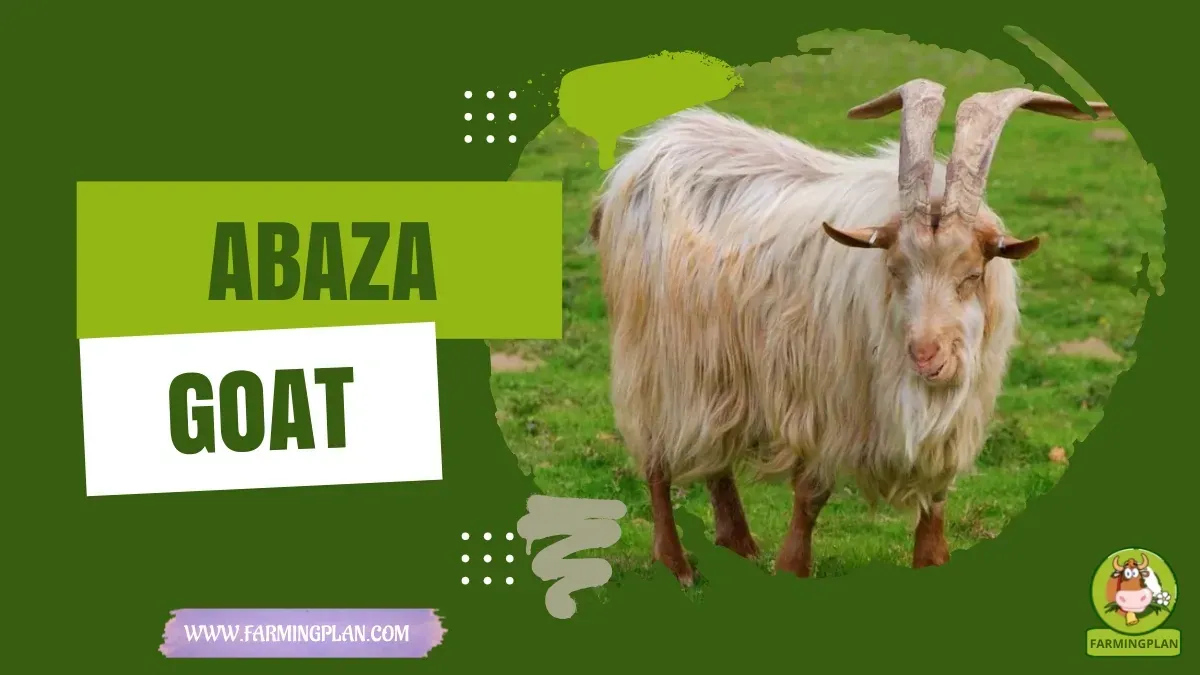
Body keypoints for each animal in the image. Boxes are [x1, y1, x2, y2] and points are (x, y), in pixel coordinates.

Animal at [588, 80, 1114, 585]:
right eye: (896, 269)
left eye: (972, 274)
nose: (926, 355)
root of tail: (647, 148)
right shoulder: (826, 405)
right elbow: (810, 495)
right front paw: (791, 569)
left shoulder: (948, 430)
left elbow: (935, 504)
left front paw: (932, 563)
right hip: (653, 361)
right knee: (656, 462)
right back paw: (675, 564)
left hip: (717, 370)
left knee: (716, 455)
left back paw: (739, 546)